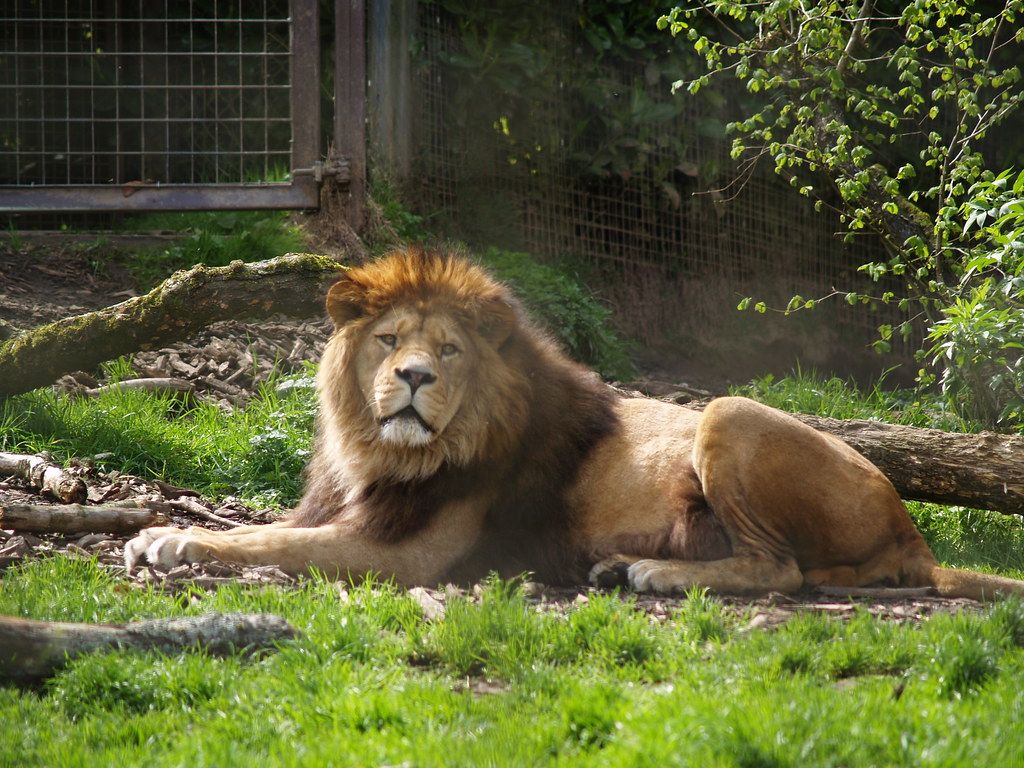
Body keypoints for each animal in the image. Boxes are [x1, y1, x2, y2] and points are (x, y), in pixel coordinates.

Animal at [125, 248, 1024, 600]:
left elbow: (272, 543)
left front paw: (173, 539)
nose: (413, 377)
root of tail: (910, 527)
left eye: (447, 350)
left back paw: (651, 572)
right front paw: (168, 529)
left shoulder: (410, 553)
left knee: (783, 572)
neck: (378, 451)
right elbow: (268, 526)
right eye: (388, 340)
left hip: (727, 412)